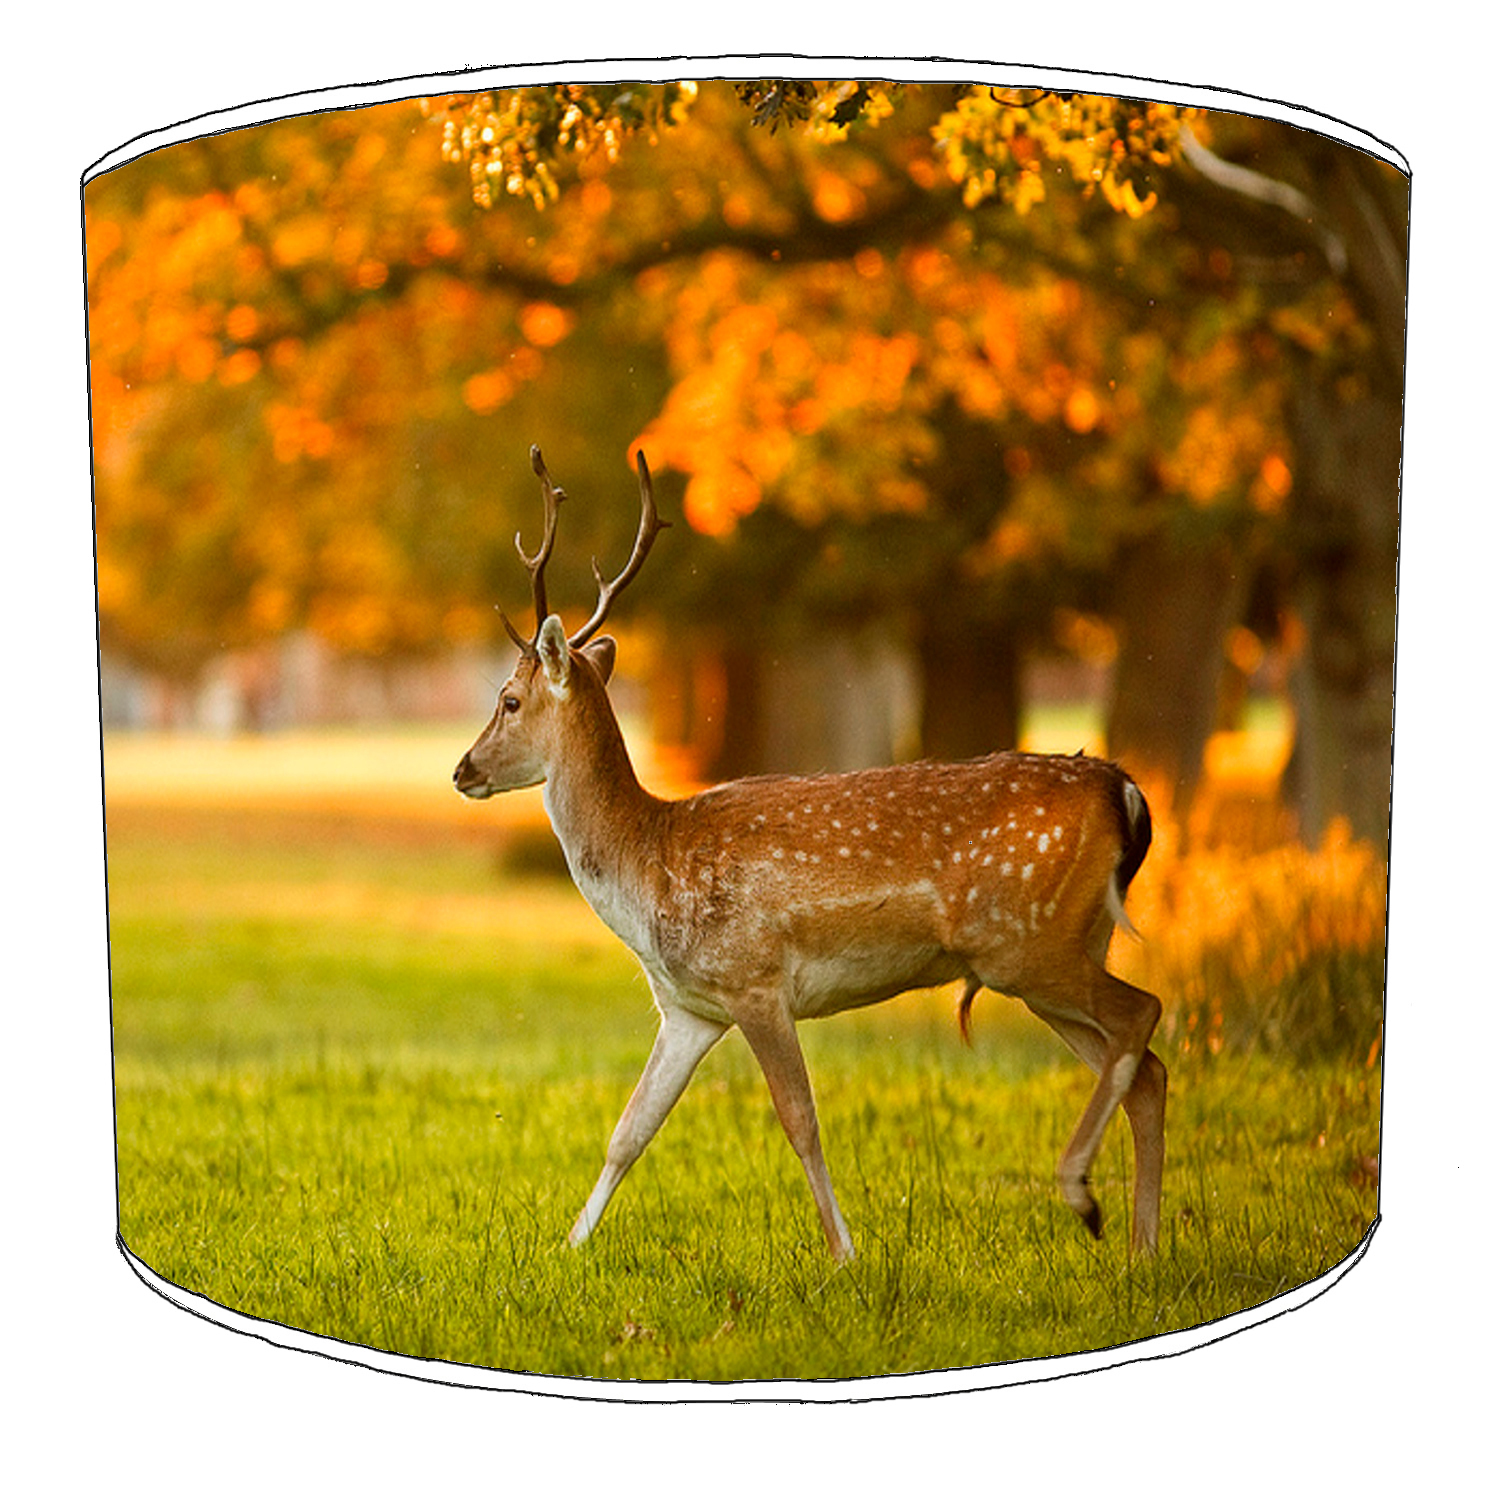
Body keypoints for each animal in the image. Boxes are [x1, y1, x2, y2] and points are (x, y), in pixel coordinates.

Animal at [453, 446, 1166, 1263]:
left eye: (509, 700)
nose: (462, 769)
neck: (650, 871)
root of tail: (1123, 790)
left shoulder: (754, 979)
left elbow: (800, 1122)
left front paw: (845, 1253)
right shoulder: (687, 1007)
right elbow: (629, 1131)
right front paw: (567, 1249)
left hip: (1028, 943)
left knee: (1143, 1015)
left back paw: (1083, 1196)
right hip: (1061, 948)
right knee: (1144, 1069)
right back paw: (1143, 1250)